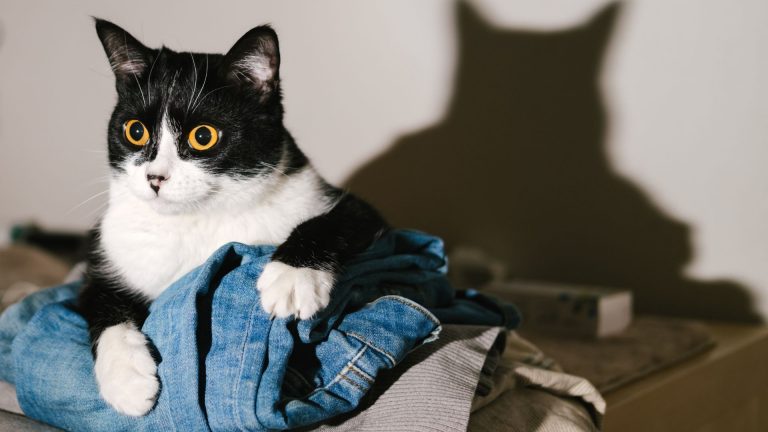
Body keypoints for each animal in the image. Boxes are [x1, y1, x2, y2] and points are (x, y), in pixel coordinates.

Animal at [78, 19, 384, 416]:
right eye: (135, 131)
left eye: (203, 136)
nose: (155, 178)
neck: (197, 220)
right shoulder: (107, 254)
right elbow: (98, 300)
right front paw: (126, 379)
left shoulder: (352, 209)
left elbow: (333, 221)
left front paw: (292, 278)